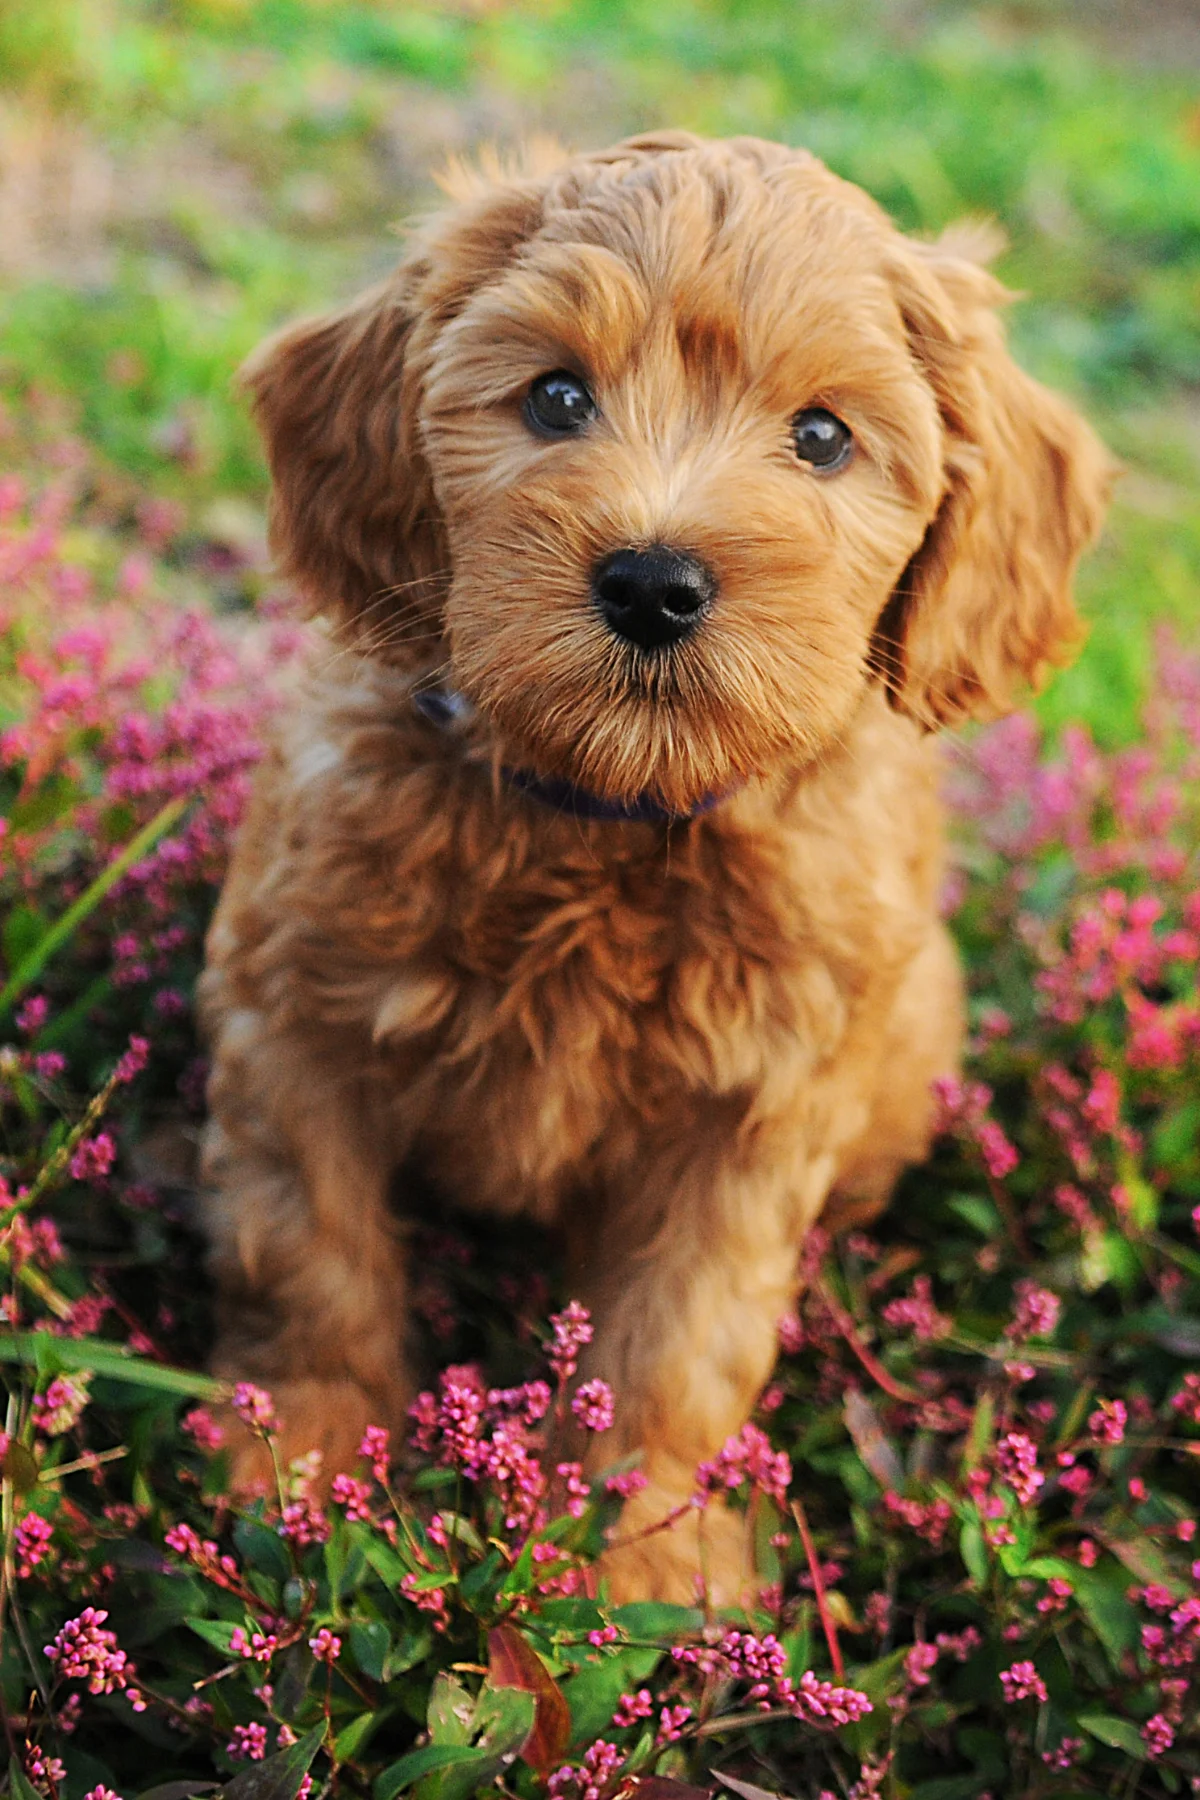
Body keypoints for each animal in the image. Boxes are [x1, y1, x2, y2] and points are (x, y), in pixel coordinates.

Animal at [199, 133, 1115, 1612]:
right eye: (556, 396)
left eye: (822, 436)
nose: (651, 582)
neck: (613, 818)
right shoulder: (293, 1014)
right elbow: (309, 1248)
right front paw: (302, 1445)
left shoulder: (752, 1114)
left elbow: (683, 1332)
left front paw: (644, 1548)